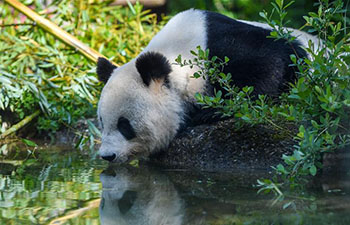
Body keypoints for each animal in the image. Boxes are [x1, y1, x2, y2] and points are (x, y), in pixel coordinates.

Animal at [96, 9, 320, 162]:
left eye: (124, 125)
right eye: (102, 122)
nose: (107, 156)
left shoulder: (225, 48)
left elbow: (273, 63)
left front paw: (210, 112)